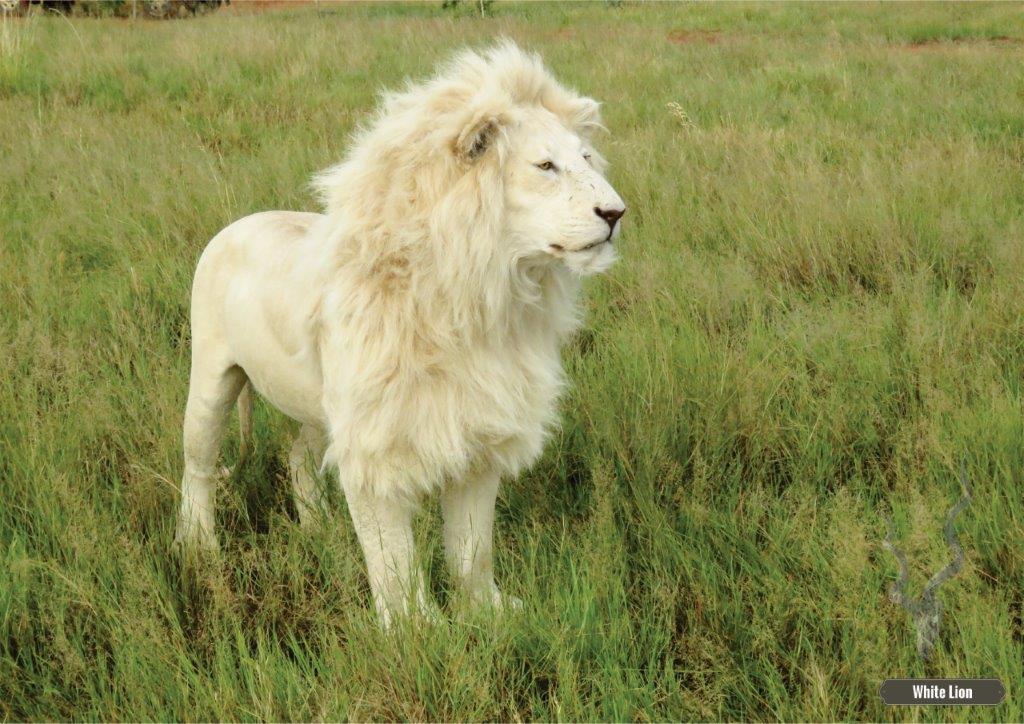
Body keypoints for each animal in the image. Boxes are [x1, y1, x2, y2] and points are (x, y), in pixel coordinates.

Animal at [174, 41, 626, 626]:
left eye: (587, 159)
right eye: (545, 166)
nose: (616, 213)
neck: (482, 299)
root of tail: (239, 222)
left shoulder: (480, 430)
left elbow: (472, 549)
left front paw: (488, 614)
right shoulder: (377, 443)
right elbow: (394, 561)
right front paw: (417, 632)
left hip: (322, 407)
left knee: (298, 459)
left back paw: (318, 529)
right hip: (213, 378)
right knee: (199, 466)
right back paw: (198, 547)